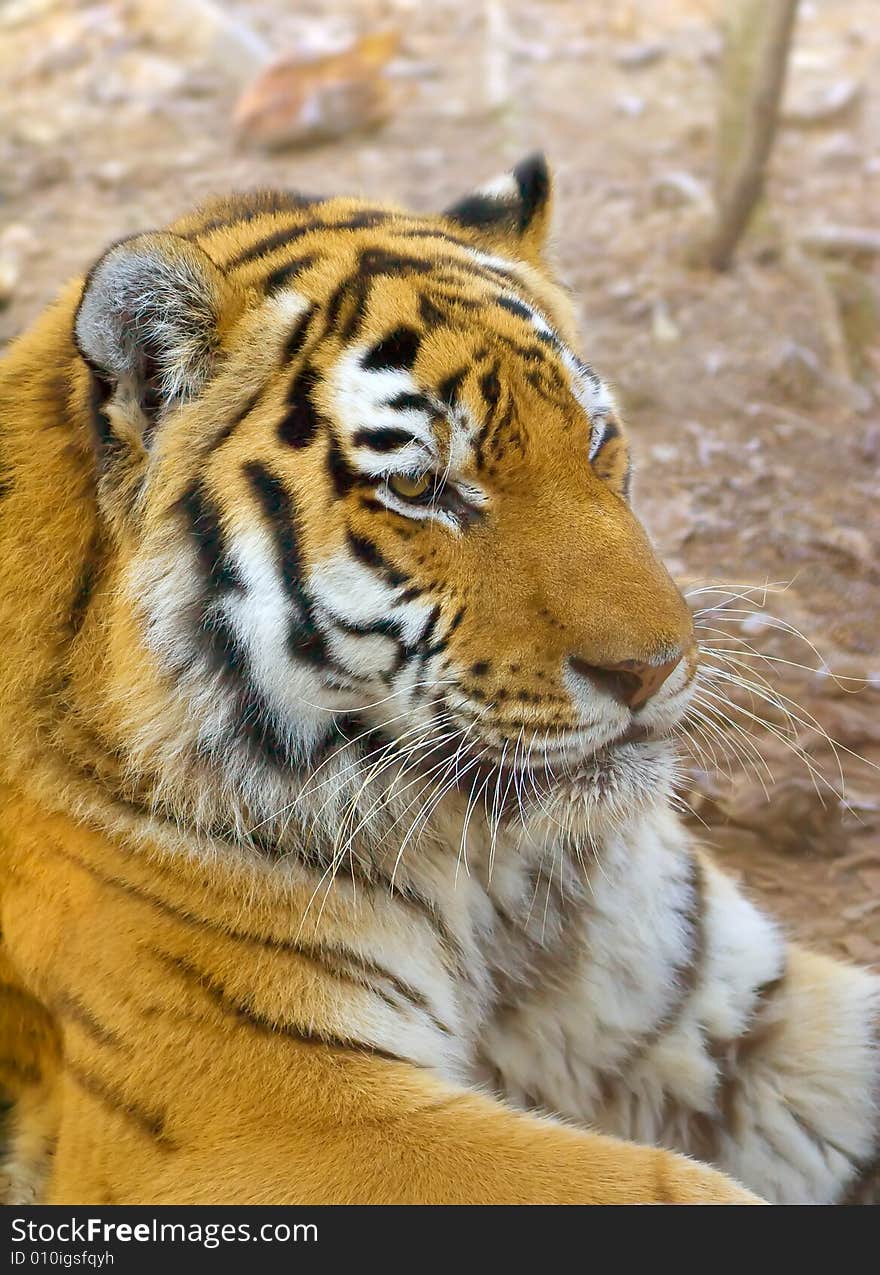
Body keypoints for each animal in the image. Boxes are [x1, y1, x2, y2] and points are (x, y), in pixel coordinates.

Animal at [0, 154, 872, 1198]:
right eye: (420, 488)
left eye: (595, 441)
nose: (655, 668)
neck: (499, 876)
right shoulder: (263, 1107)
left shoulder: (719, 1008)